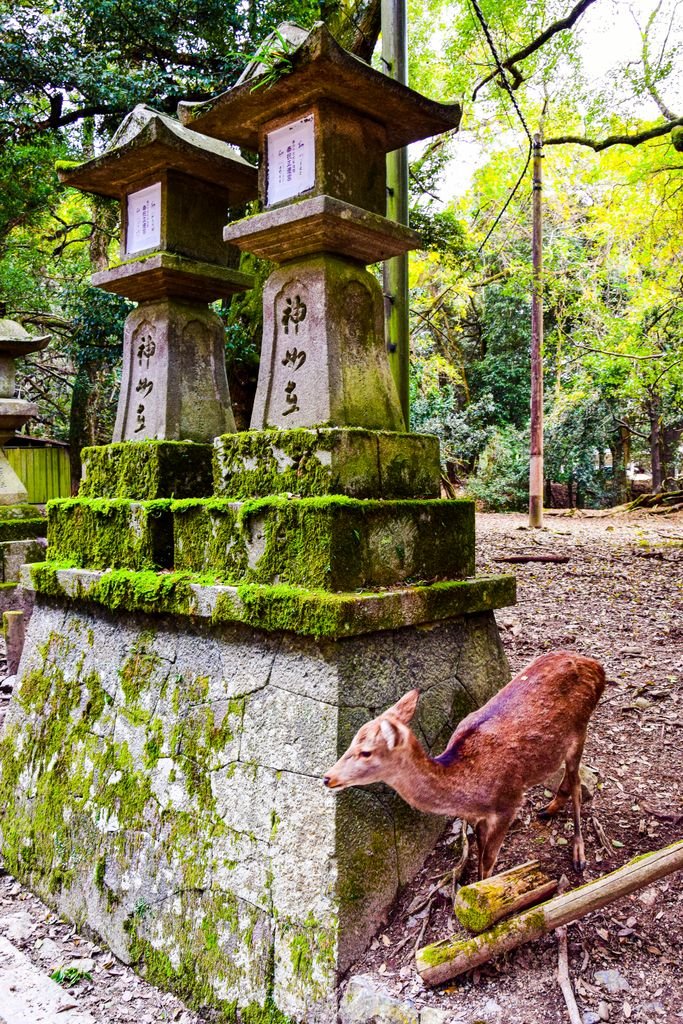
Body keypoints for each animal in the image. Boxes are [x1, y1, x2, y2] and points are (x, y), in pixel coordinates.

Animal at [323, 651, 605, 880]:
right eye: (351, 742)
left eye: (366, 752)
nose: (328, 777)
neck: (468, 792)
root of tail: (597, 667)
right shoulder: (475, 816)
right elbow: (480, 855)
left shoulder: (509, 803)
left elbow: (489, 860)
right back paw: (548, 810)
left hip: (580, 729)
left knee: (577, 783)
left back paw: (579, 853)